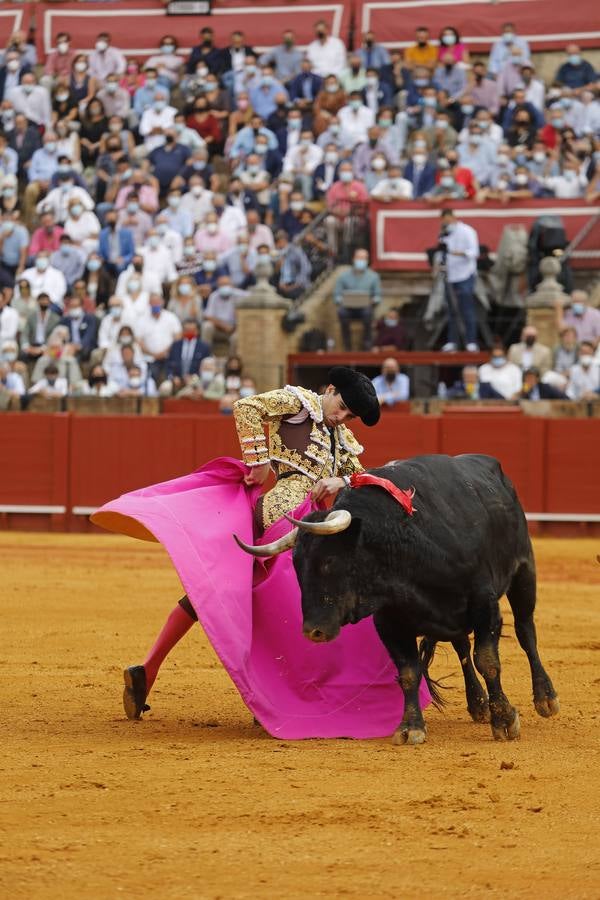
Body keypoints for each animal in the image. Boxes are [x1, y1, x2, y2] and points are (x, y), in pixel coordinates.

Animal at [236, 454, 556, 740]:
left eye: (328, 561)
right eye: (296, 564)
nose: (313, 631)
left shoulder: (484, 604)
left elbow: (487, 659)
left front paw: (505, 720)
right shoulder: (390, 622)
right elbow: (409, 671)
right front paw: (410, 727)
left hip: (524, 571)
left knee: (525, 631)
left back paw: (545, 698)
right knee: (462, 645)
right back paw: (478, 704)